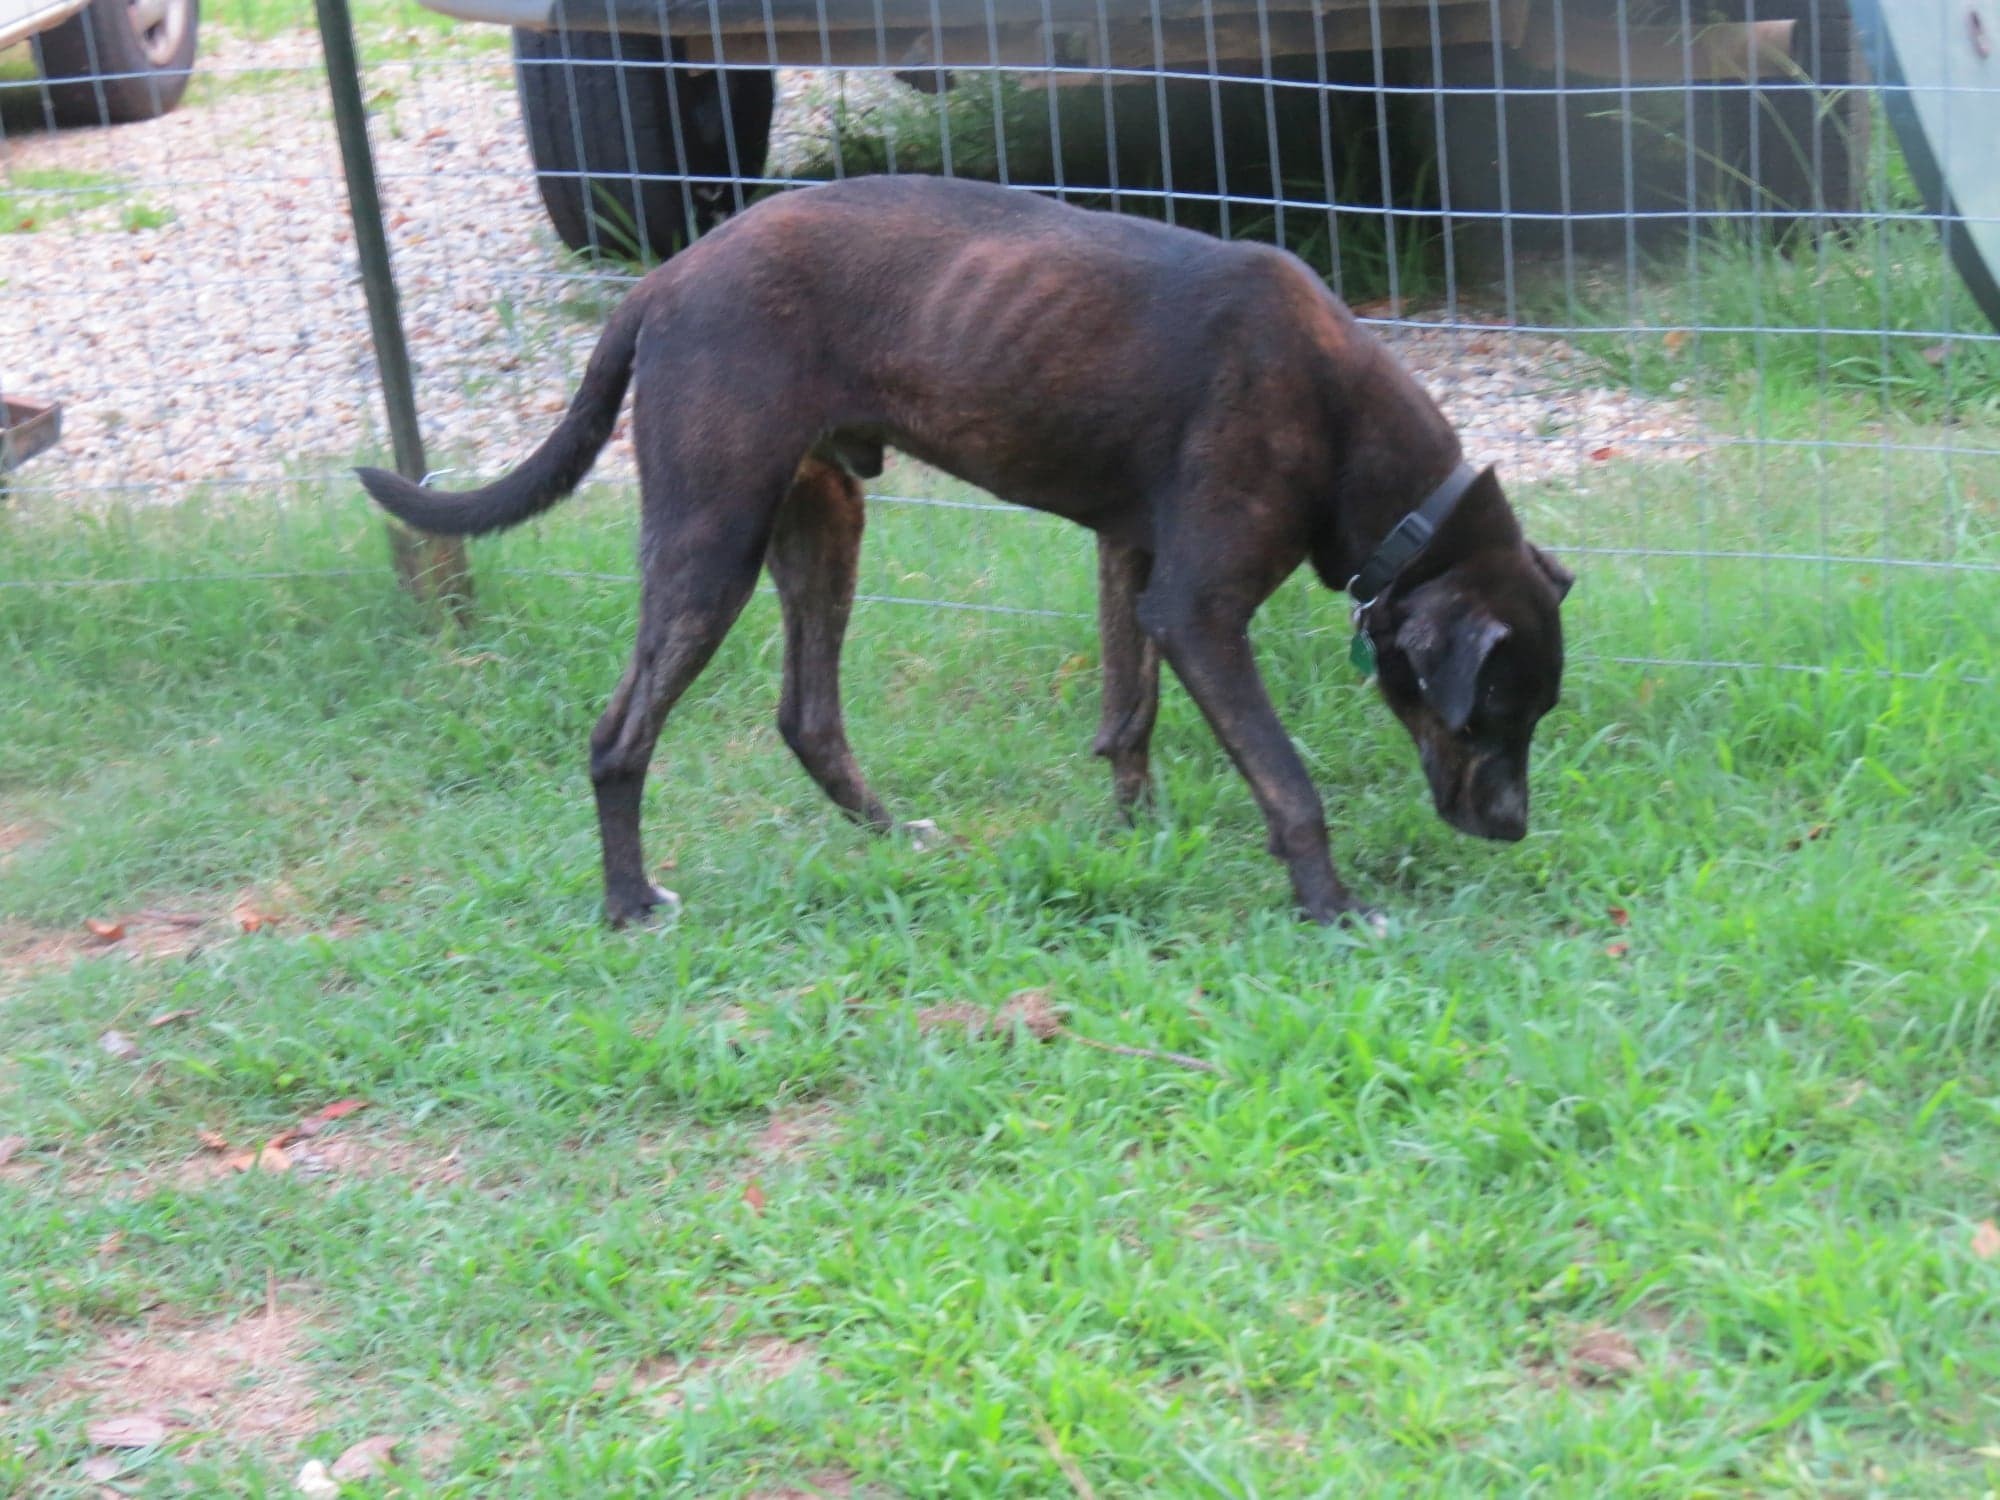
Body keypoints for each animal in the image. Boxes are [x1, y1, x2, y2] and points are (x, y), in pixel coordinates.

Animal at [364, 176, 1576, 928]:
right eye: (1491, 714)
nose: (1516, 831)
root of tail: (663, 280)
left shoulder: (1132, 562)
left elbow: (1127, 719)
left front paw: (1135, 836)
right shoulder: (1198, 609)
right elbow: (1286, 779)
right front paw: (1329, 906)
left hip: (823, 525)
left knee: (807, 717)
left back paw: (889, 834)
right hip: (711, 540)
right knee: (621, 736)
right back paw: (628, 903)